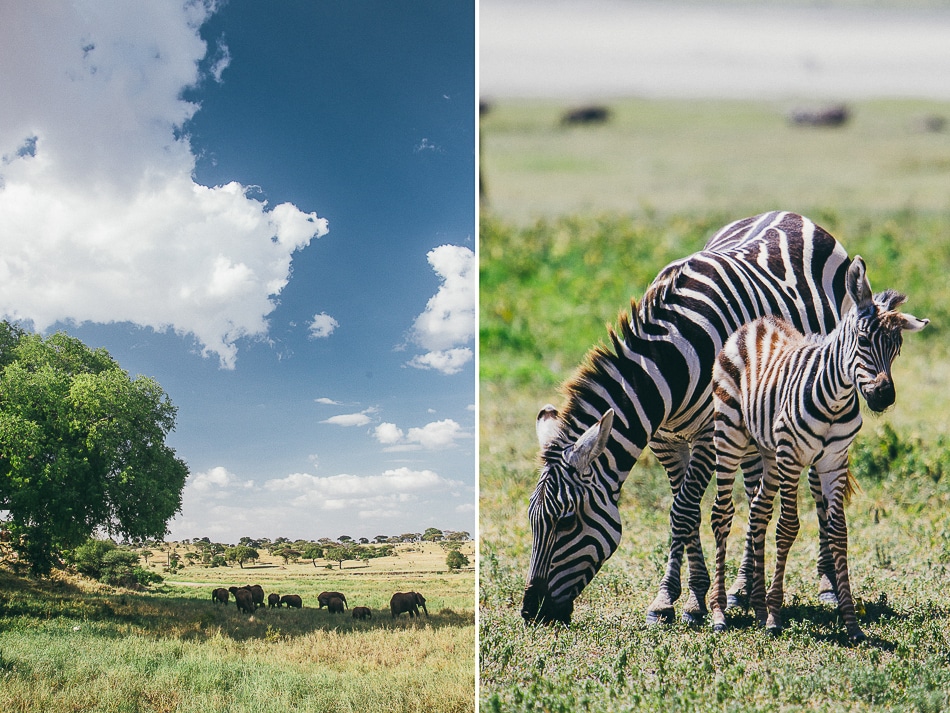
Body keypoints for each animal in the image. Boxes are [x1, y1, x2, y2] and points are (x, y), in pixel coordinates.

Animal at [520, 210, 856, 624]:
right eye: (532, 521)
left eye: (567, 522)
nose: (530, 612)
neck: (672, 361)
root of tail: (790, 214)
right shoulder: (665, 439)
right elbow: (686, 511)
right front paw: (680, 596)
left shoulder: (709, 434)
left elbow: (682, 510)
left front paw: (686, 600)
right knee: (756, 491)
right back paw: (744, 587)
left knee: (817, 488)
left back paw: (826, 584)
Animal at [712, 254, 928, 640]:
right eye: (862, 340)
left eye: (898, 348)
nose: (884, 396)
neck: (836, 400)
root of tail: (755, 323)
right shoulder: (792, 455)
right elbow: (788, 527)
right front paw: (775, 616)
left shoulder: (833, 460)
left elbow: (838, 531)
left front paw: (851, 621)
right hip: (731, 436)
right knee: (723, 514)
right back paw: (721, 611)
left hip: (767, 453)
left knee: (757, 512)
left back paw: (755, 606)